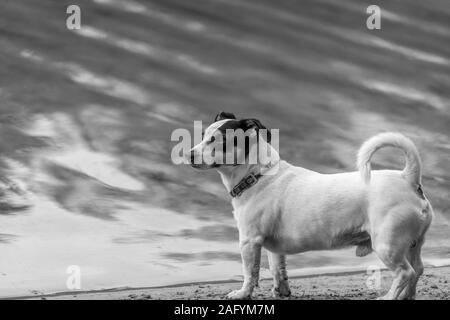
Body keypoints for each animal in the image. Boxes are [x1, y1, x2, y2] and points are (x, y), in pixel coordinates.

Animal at [186, 112, 432, 300]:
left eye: (217, 140)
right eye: (203, 136)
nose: (188, 155)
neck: (257, 175)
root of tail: (408, 178)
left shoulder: (249, 241)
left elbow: (250, 273)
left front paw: (242, 294)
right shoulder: (273, 248)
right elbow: (278, 269)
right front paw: (282, 292)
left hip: (387, 244)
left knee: (405, 273)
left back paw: (389, 297)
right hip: (411, 244)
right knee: (417, 270)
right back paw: (407, 296)